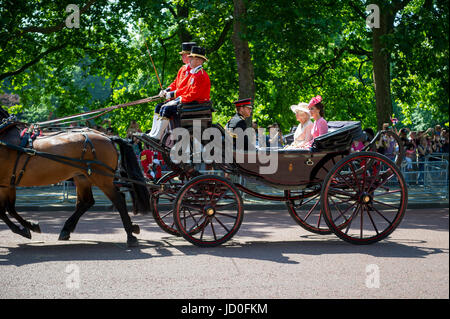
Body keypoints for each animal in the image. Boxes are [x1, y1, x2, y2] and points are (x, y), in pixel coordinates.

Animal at [0, 107, 151, 248]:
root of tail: (108, 138)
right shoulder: (7, 184)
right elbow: (8, 209)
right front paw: (27, 227)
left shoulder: (6, 183)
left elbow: (6, 210)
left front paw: (27, 227)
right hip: (83, 177)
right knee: (86, 202)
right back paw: (67, 229)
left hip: (101, 179)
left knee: (118, 200)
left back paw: (130, 235)